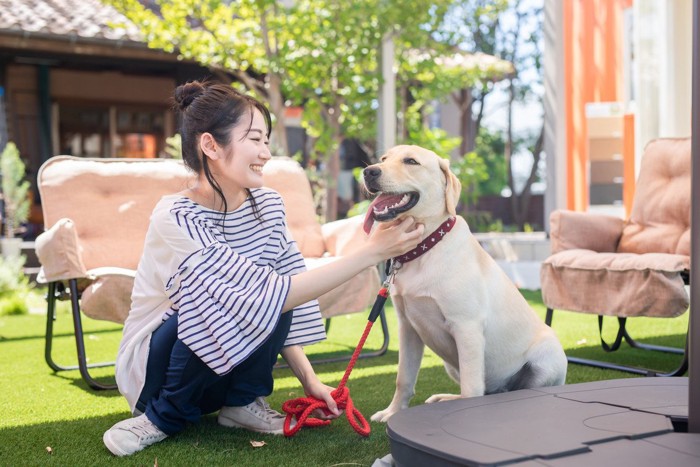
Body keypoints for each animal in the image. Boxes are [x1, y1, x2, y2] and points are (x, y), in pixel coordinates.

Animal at [360, 144, 568, 422]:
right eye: (384, 158)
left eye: (411, 161)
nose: (369, 172)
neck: (425, 248)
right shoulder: (408, 329)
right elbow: (403, 379)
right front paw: (392, 412)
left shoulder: (466, 327)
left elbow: (471, 388)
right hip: (451, 364)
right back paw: (446, 398)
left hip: (547, 357)